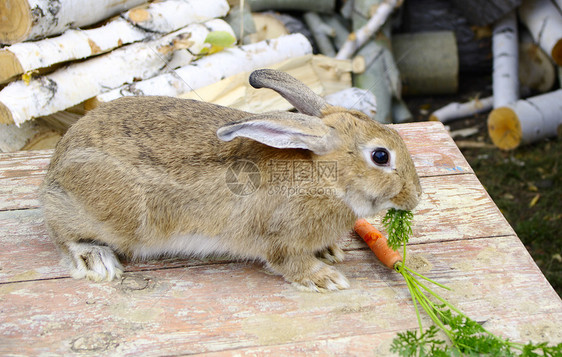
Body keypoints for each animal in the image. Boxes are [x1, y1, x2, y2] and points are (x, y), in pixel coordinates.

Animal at [40, 68, 420, 290]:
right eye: (381, 156)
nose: (415, 197)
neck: (326, 179)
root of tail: (53, 172)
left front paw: (329, 252)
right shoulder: (280, 238)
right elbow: (289, 263)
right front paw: (327, 279)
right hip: (109, 215)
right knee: (62, 231)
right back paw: (98, 261)